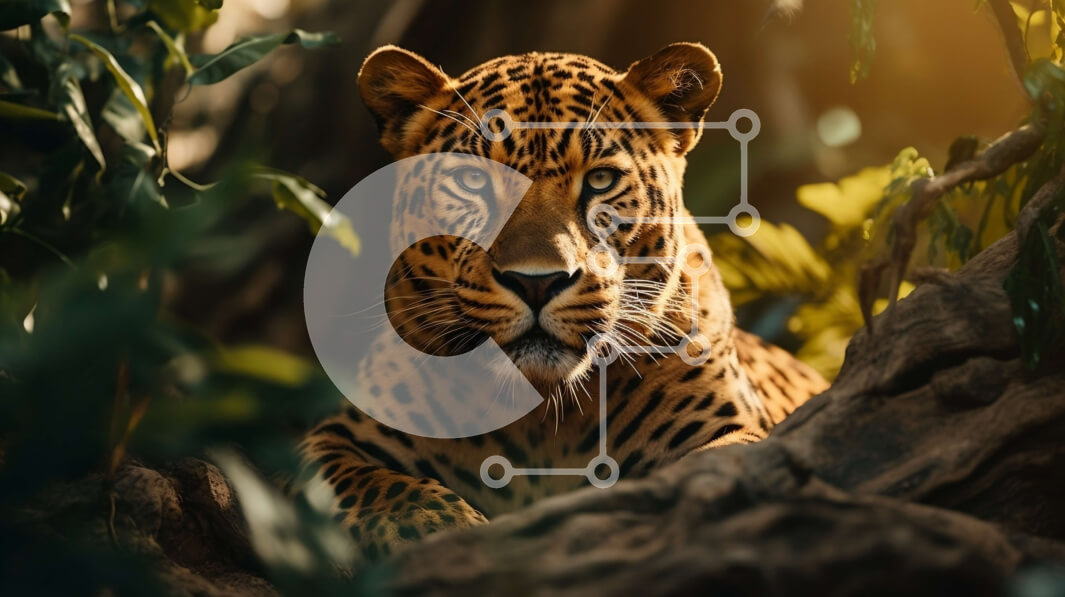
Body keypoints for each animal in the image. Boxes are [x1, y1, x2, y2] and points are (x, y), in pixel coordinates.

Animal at [298, 42, 829, 560]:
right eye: (473, 181)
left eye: (600, 181)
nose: (536, 282)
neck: (542, 417)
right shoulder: (333, 439)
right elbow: (370, 483)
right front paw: (433, 524)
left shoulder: (728, 430)